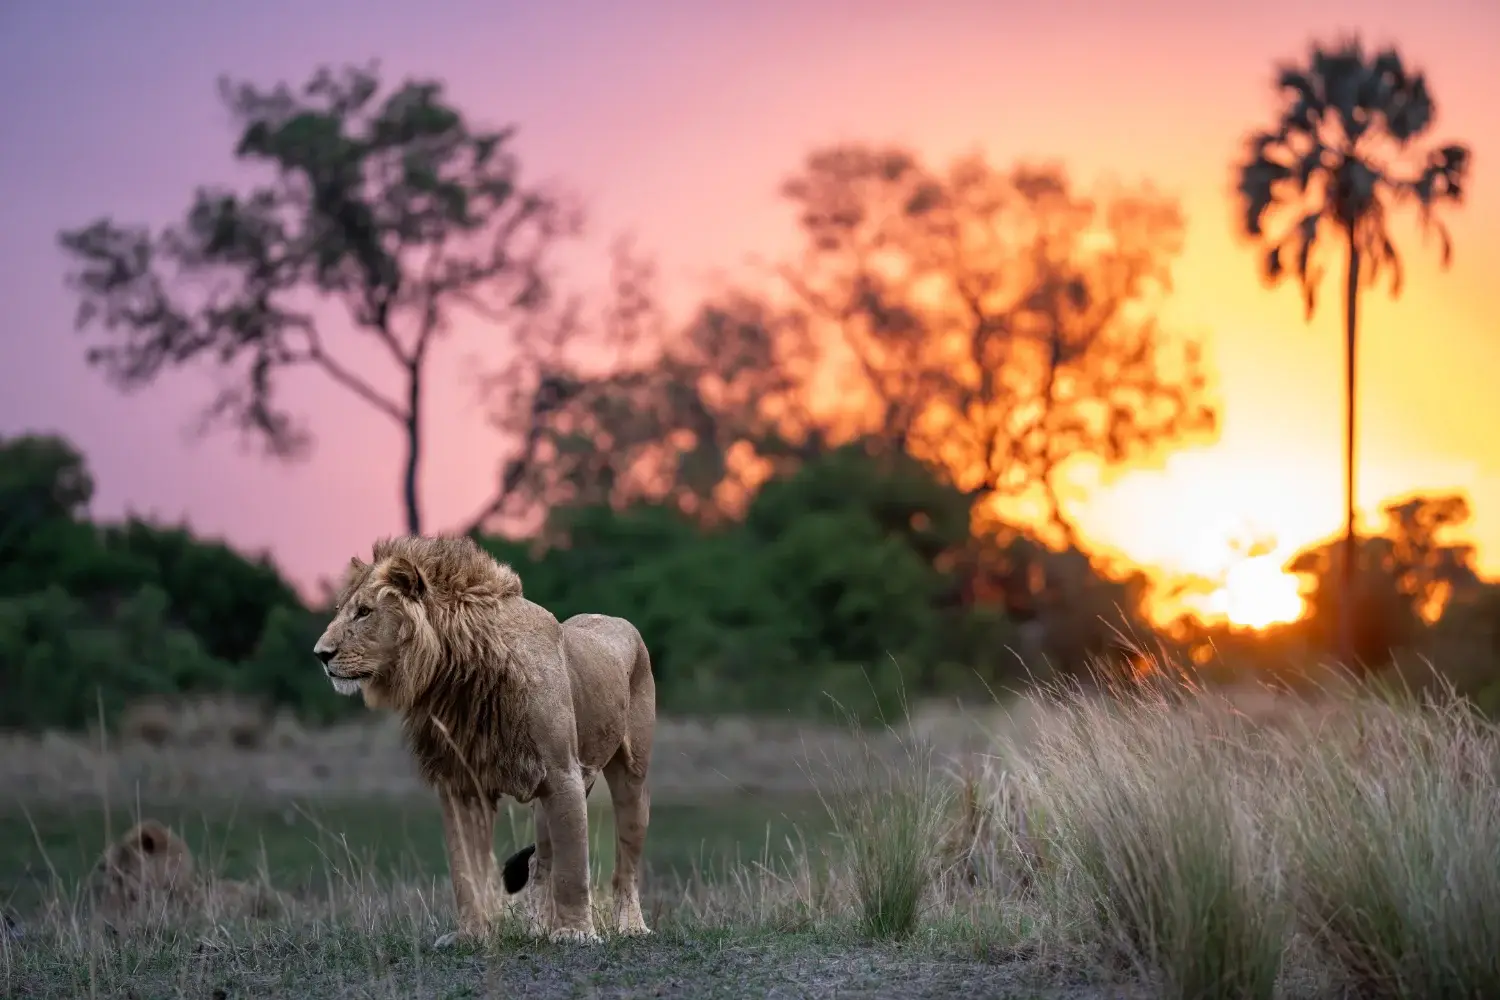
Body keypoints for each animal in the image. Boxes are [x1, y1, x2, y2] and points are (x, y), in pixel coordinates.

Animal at [313, 535, 656, 946]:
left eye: (364, 612)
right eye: (341, 610)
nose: (320, 655)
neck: (456, 676)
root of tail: (621, 622)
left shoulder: (562, 773)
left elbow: (574, 868)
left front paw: (575, 934)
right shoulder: (462, 783)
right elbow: (465, 869)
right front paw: (470, 936)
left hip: (629, 775)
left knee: (626, 862)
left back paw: (631, 927)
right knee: (541, 861)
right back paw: (537, 929)